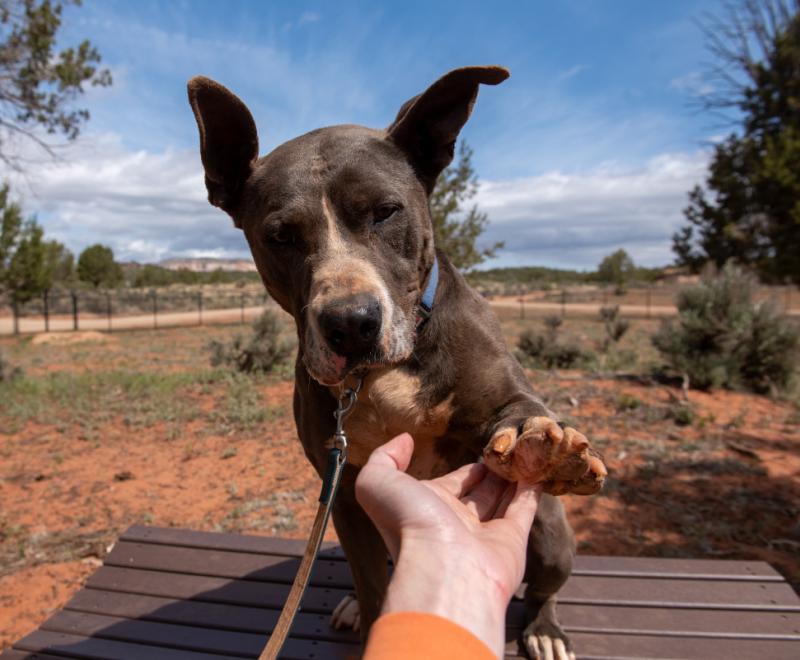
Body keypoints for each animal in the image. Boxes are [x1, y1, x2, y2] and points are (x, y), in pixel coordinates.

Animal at [188, 67, 600, 660]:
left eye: (385, 211)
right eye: (280, 235)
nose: (351, 323)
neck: (382, 374)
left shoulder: (499, 396)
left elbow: (519, 408)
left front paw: (540, 446)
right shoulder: (344, 491)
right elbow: (372, 581)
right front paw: (371, 614)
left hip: (549, 534)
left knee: (544, 586)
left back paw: (544, 627)